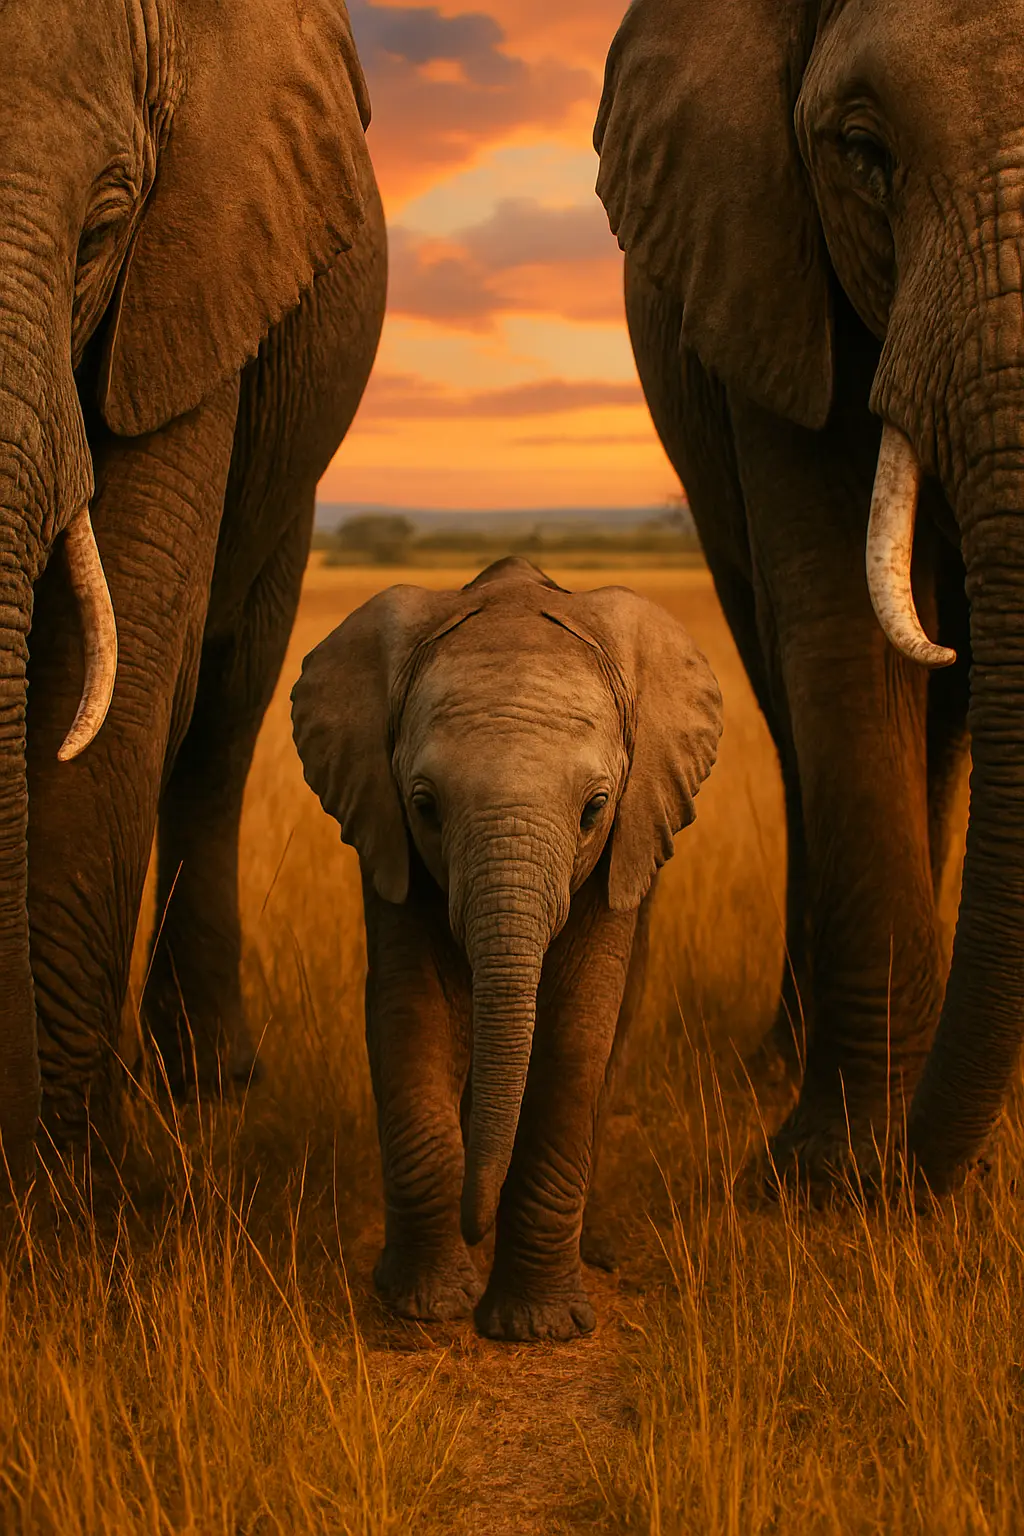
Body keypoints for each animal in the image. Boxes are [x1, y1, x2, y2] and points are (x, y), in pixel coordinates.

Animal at [0, 0, 386, 1183]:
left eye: (102, 227)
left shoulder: (197, 272)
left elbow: (126, 669)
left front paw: (73, 1191)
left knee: (220, 717)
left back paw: (210, 1082)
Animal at [290, 558, 722, 1340]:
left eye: (594, 809)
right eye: (425, 806)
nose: (475, 1225)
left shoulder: (623, 851)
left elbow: (579, 1031)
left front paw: (535, 1328)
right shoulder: (387, 843)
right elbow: (411, 1010)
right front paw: (425, 1309)